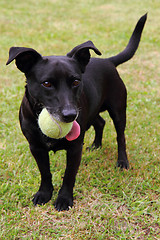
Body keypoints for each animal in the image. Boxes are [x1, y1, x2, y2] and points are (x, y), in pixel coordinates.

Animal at [6, 14, 147, 211]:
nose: (70, 115)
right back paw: (96, 145)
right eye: (46, 84)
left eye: (75, 81)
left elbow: (69, 175)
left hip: (118, 110)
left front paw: (64, 199)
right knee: (100, 122)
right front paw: (44, 194)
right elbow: (45, 172)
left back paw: (122, 162)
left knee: (121, 136)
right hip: (91, 111)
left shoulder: (74, 148)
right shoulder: (35, 147)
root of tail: (108, 61)